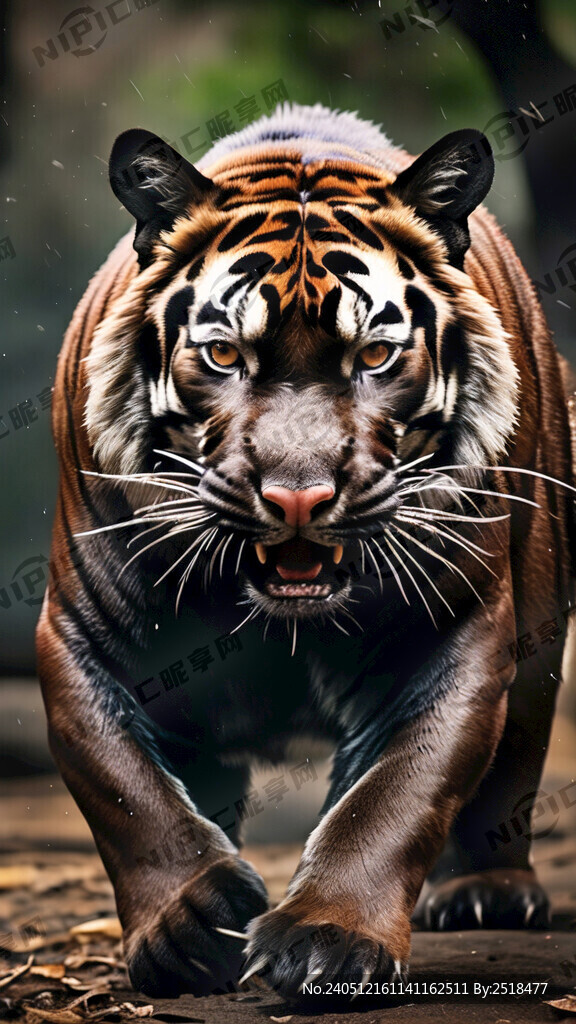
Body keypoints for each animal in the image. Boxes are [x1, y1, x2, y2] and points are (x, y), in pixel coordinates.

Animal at [37, 103, 576, 1000]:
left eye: (375, 356)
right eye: (224, 354)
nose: (297, 495)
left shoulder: (457, 631)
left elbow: (394, 796)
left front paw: (328, 940)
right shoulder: (78, 636)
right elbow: (126, 791)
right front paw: (191, 925)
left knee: (510, 767)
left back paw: (485, 892)